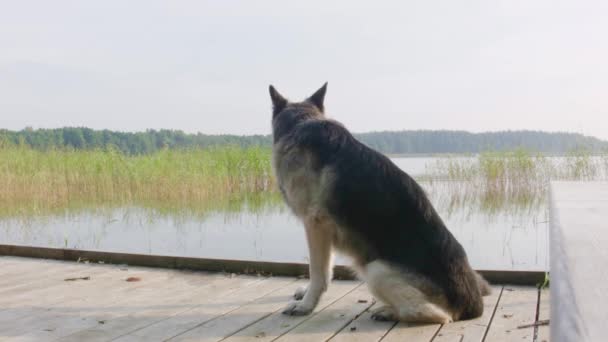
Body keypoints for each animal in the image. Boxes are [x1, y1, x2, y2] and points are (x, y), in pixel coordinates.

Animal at [268, 83, 492, 324]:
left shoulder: (315, 224)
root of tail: (473, 306)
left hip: (375, 269)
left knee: (436, 314)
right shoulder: (324, 230)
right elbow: (327, 269)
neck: (302, 120)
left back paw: (388, 311)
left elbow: (318, 272)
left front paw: (306, 305)